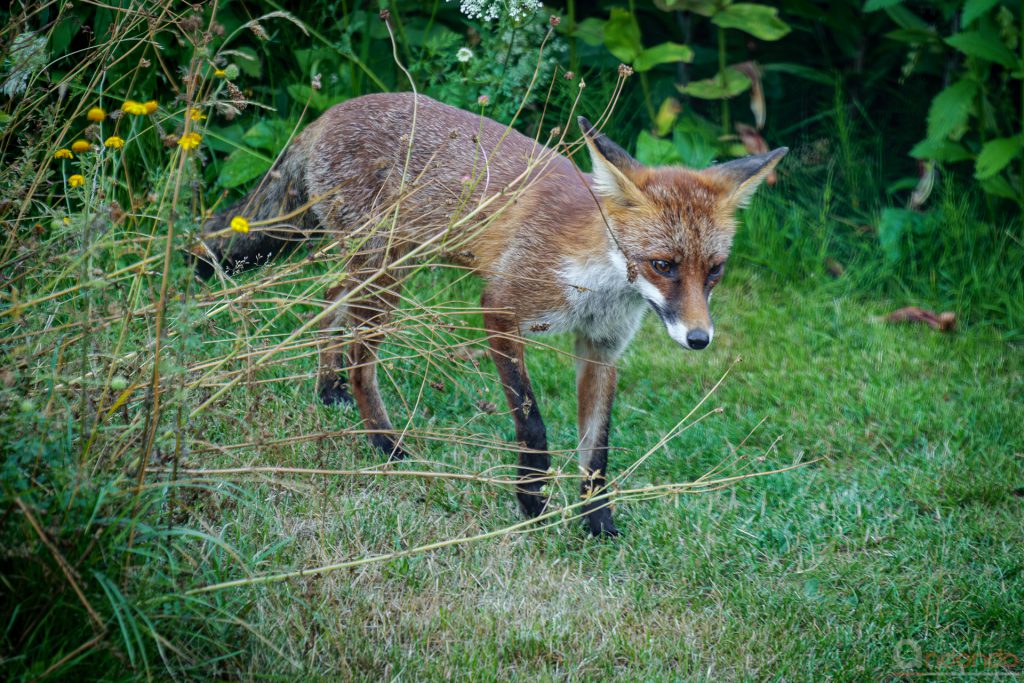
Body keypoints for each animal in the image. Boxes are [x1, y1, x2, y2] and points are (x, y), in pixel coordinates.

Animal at [195, 92, 786, 540]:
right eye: (663, 265)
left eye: (714, 271)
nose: (699, 338)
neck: (595, 281)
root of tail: (327, 113)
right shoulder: (500, 308)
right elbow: (533, 422)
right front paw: (531, 502)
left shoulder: (601, 348)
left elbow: (597, 454)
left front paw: (598, 524)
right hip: (387, 275)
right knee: (363, 358)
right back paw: (386, 445)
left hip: (375, 269)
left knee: (327, 302)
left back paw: (327, 387)